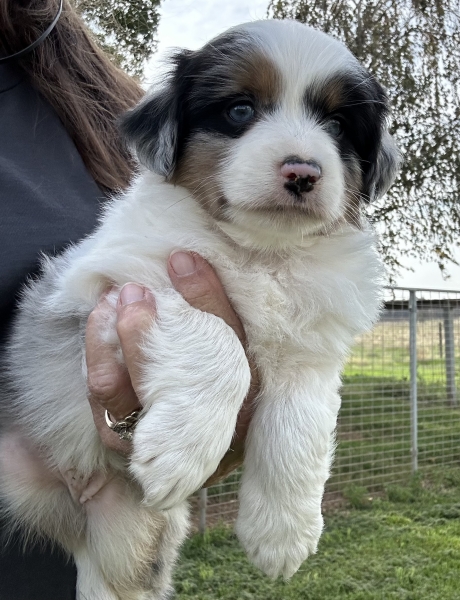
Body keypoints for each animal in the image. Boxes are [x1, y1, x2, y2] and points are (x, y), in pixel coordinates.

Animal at [0, 19, 399, 600]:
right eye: (240, 110)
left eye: (338, 123)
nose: (302, 172)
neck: (260, 252)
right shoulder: (111, 284)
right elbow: (217, 336)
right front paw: (182, 449)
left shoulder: (313, 349)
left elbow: (302, 417)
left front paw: (283, 531)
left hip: (126, 545)